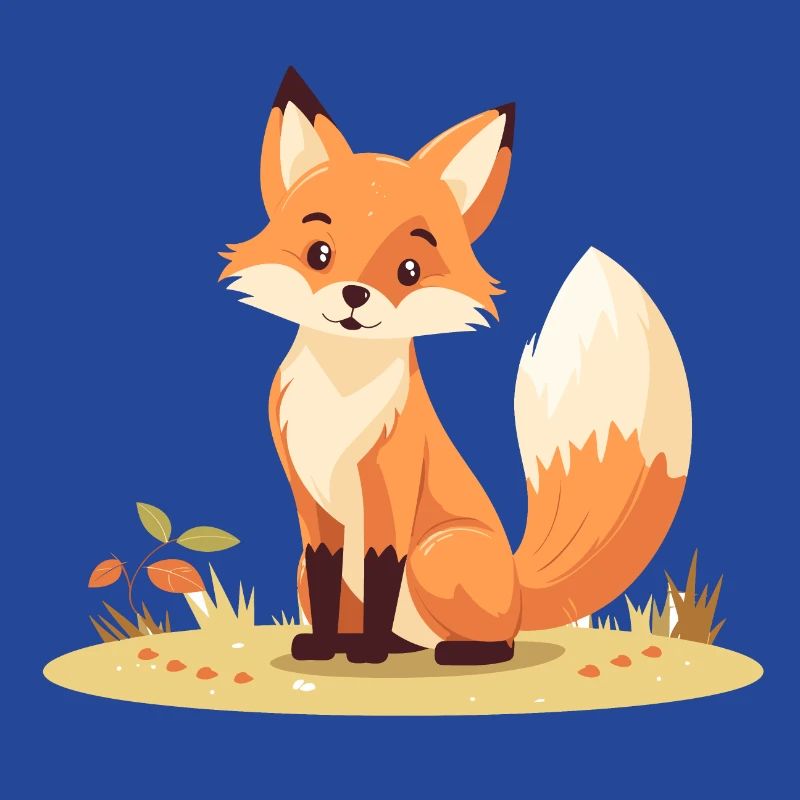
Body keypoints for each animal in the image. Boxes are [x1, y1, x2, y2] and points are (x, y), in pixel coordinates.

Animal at [219, 67, 692, 665]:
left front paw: (367, 653)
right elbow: (330, 578)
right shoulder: (312, 508)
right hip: (308, 568)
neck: (342, 395)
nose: (354, 296)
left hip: (435, 553)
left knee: (497, 641)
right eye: (319, 254)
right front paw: (326, 648)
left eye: (409, 269)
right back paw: (378, 643)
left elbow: (380, 569)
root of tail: (519, 589)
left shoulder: (392, 490)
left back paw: (447, 651)